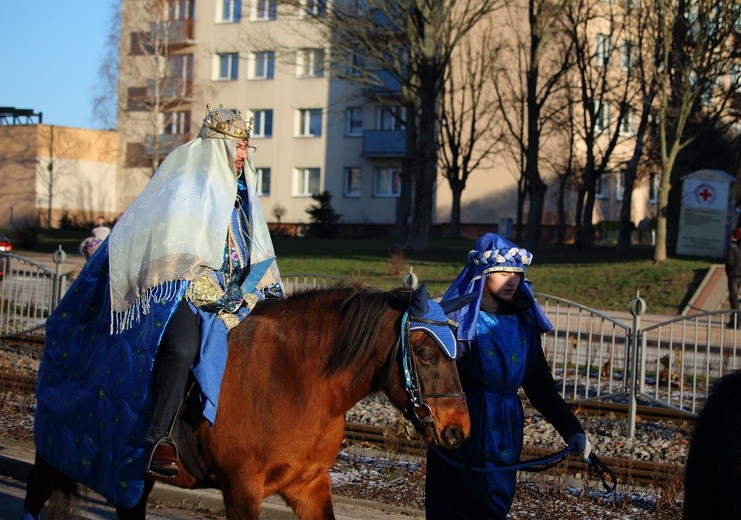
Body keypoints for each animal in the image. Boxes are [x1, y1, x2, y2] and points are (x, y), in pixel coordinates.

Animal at [26, 284, 472, 520]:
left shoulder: (309, 484)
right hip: (53, 453)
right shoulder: (241, 487)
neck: (297, 381)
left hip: (128, 474)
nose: (458, 429)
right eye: (425, 354)